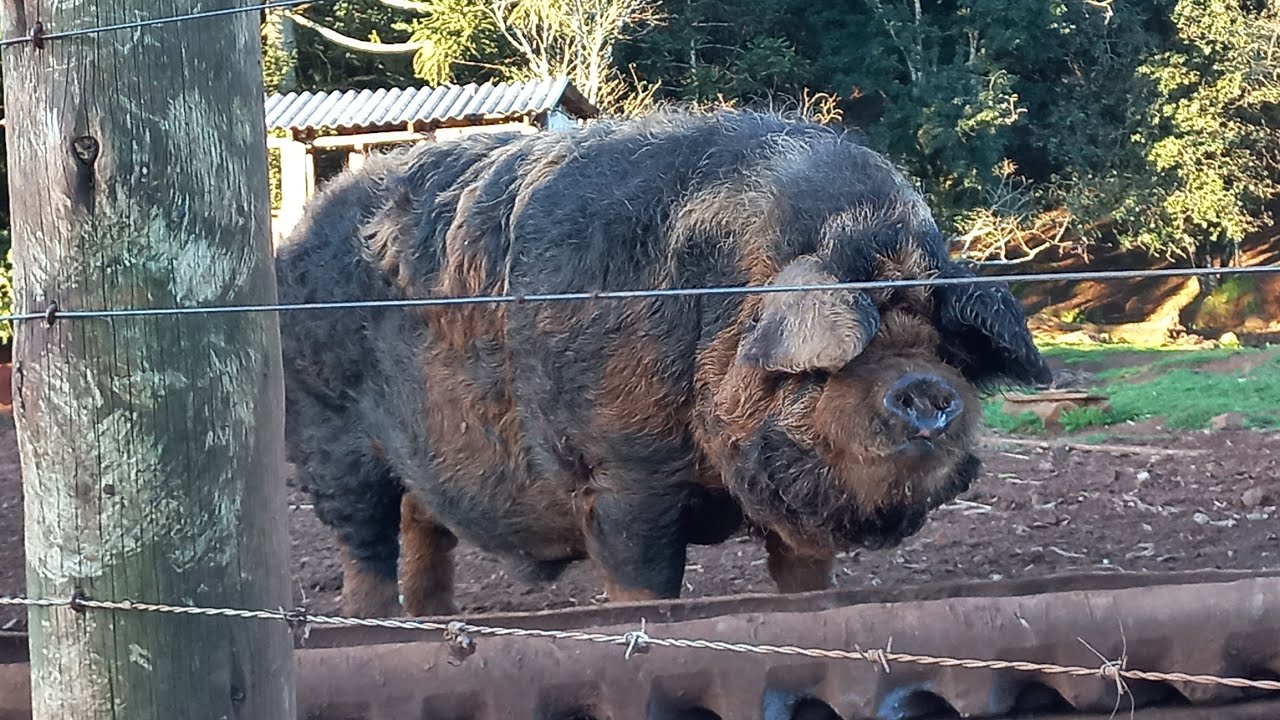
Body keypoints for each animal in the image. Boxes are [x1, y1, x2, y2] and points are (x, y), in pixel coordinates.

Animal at [274, 108, 1052, 617]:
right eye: (835, 359)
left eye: (947, 349)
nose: (924, 387)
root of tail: (294, 239)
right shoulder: (621, 466)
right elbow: (644, 577)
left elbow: (804, 575)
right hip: (326, 429)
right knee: (364, 541)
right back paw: (374, 623)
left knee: (423, 526)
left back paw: (436, 620)